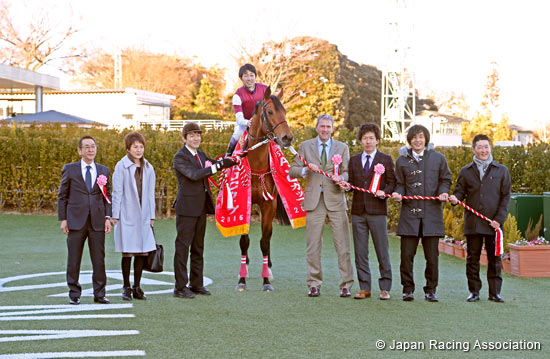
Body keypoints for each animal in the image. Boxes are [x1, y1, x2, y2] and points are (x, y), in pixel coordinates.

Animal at [237, 87, 298, 292]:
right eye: (270, 112)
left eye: (285, 112)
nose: (287, 137)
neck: (256, 163)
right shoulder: (245, 203)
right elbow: (244, 240)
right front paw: (242, 279)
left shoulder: (269, 205)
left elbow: (264, 241)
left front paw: (266, 280)